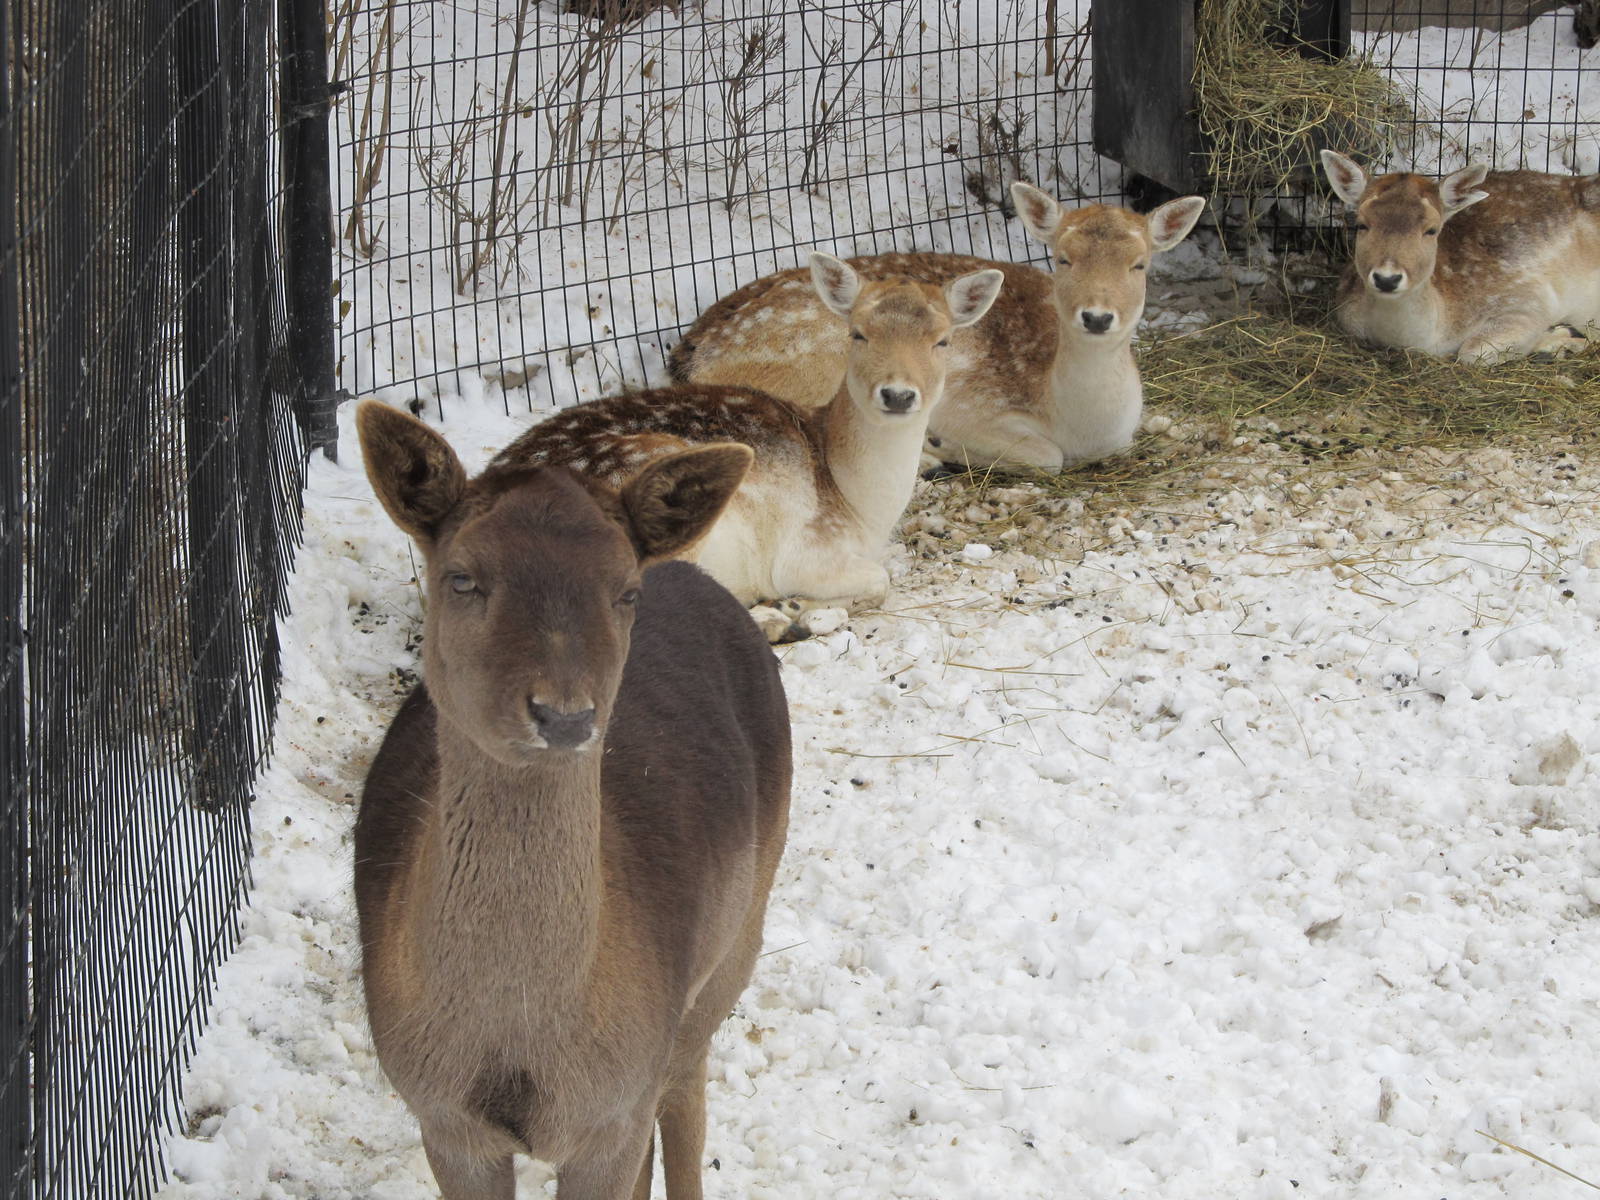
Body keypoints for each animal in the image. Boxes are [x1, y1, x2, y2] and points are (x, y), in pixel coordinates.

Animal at [353, 399, 792, 1200]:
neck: (521, 1048)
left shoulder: (612, 1112)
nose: (563, 716)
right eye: (462, 577)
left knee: (686, 1098)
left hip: (734, 945)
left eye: (624, 591)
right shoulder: (443, 1118)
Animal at [490, 252, 1003, 630]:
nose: (898, 394)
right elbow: (878, 580)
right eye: (857, 333)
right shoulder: (807, 549)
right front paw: (796, 606)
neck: (861, 506)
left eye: (942, 340)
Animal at [667, 183, 1208, 473]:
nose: (1096, 316)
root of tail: (691, 358)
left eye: (1139, 264)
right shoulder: (970, 403)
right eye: (1062, 258)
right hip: (816, 364)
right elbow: (1045, 455)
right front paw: (948, 446)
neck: (1082, 423)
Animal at [1320, 149, 1600, 364]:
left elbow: (1472, 352)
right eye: (1361, 224)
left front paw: (1561, 337)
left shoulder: (1525, 300)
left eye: (1431, 230)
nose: (1387, 279)